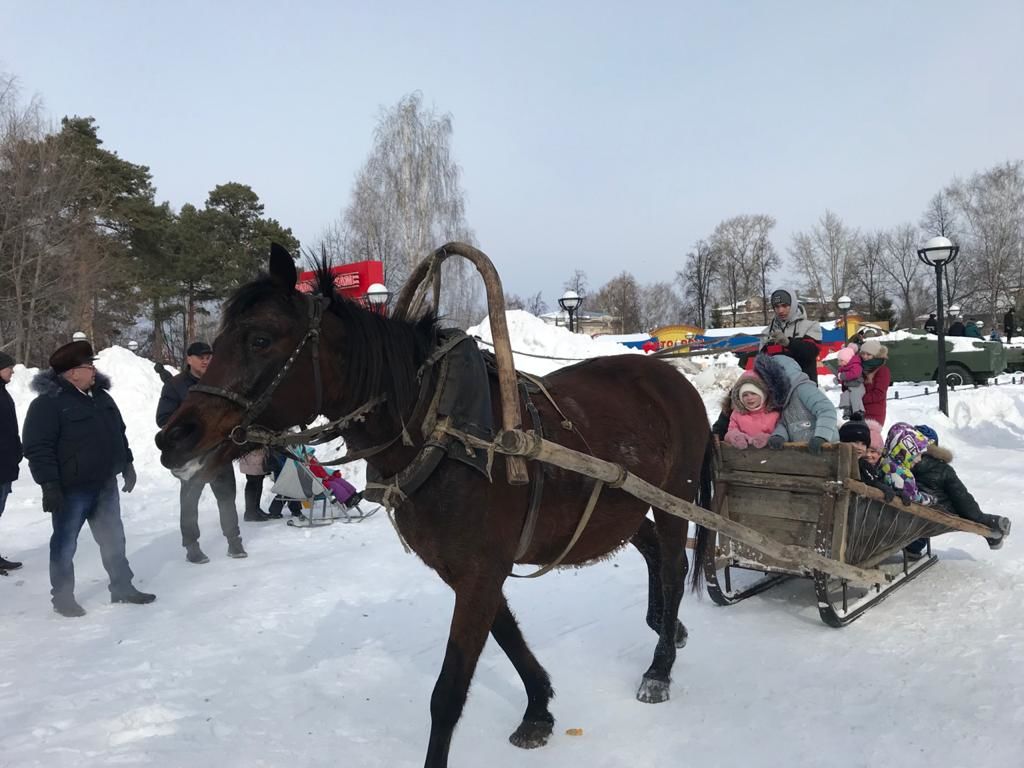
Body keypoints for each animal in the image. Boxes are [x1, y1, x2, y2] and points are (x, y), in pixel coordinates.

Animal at [155, 246, 716, 768]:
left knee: (672, 565)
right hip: (621, 506)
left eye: (260, 339)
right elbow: (507, 635)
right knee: (648, 548)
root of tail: (673, 381)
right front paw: (538, 708)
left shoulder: (480, 571)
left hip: (674, 497)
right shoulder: (466, 570)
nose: (172, 437)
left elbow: (447, 693)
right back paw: (667, 625)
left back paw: (659, 667)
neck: (443, 431)